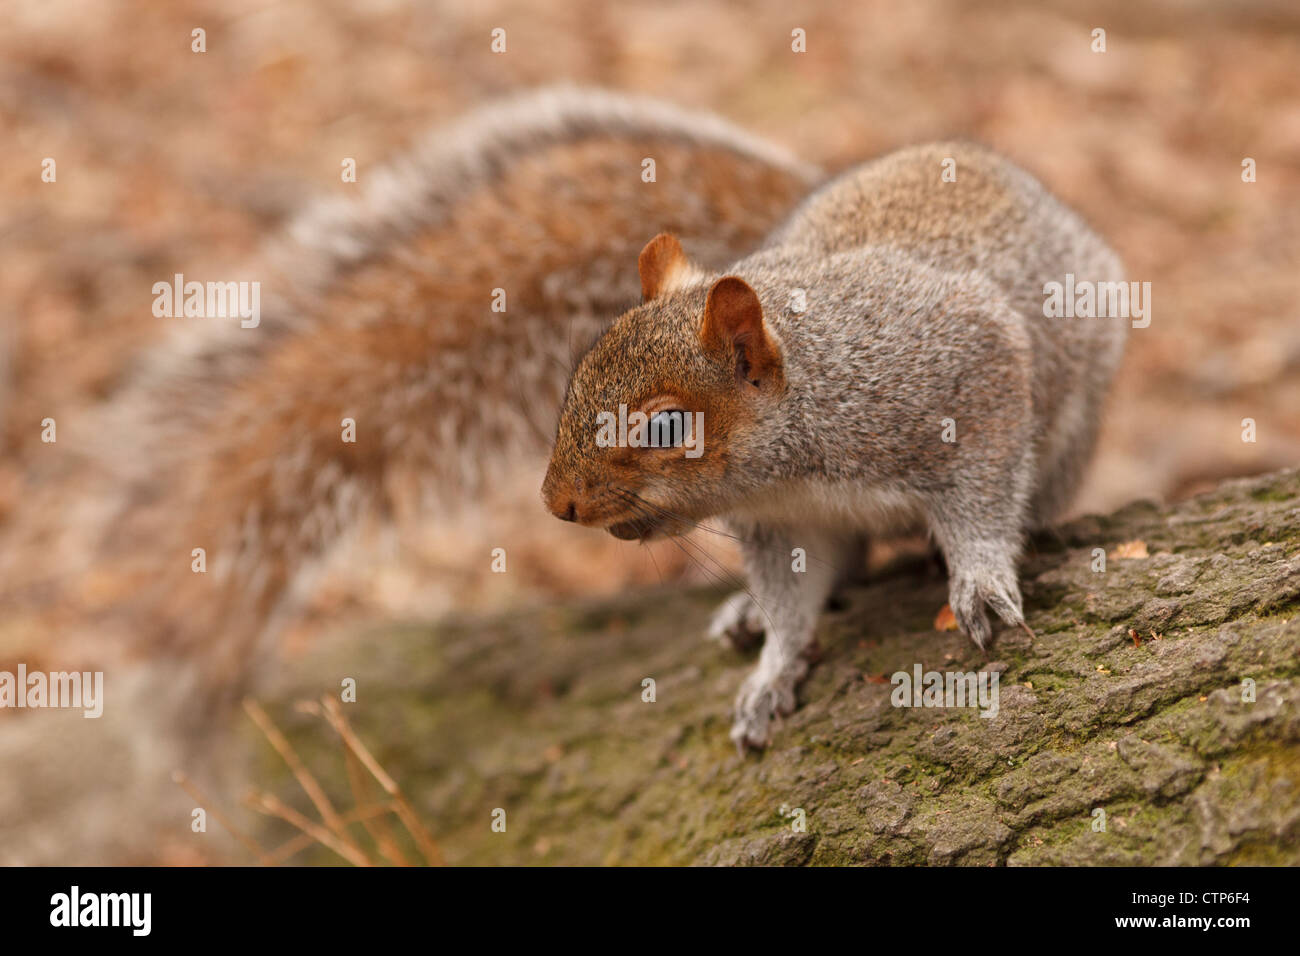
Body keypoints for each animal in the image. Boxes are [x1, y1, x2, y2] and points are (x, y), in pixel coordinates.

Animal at [540, 141, 1128, 754]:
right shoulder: (779, 524)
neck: (789, 474)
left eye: (666, 427)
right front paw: (773, 673)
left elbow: (982, 494)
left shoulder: (966, 365)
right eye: (577, 379)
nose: (557, 503)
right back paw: (746, 615)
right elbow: (789, 604)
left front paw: (980, 578)